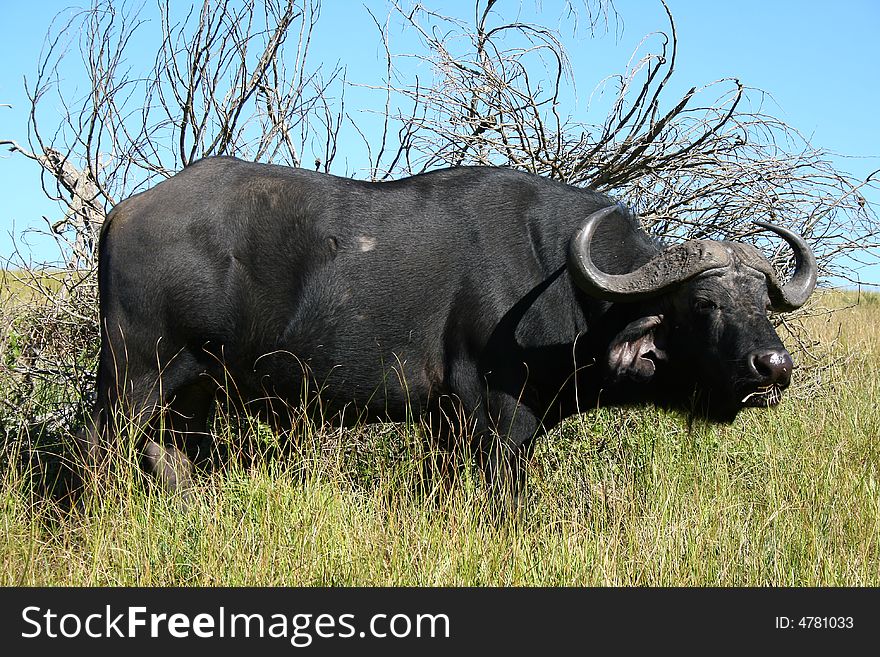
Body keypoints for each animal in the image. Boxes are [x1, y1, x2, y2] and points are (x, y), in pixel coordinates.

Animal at [84, 156, 820, 500]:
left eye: (762, 301)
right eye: (703, 305)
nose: (773, 367)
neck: (555, 271)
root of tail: (123, 212)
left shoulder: (447, 422)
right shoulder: (496, 418)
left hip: (193, 391)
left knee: (170, 458)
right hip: (134, 379)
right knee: (103, 453)